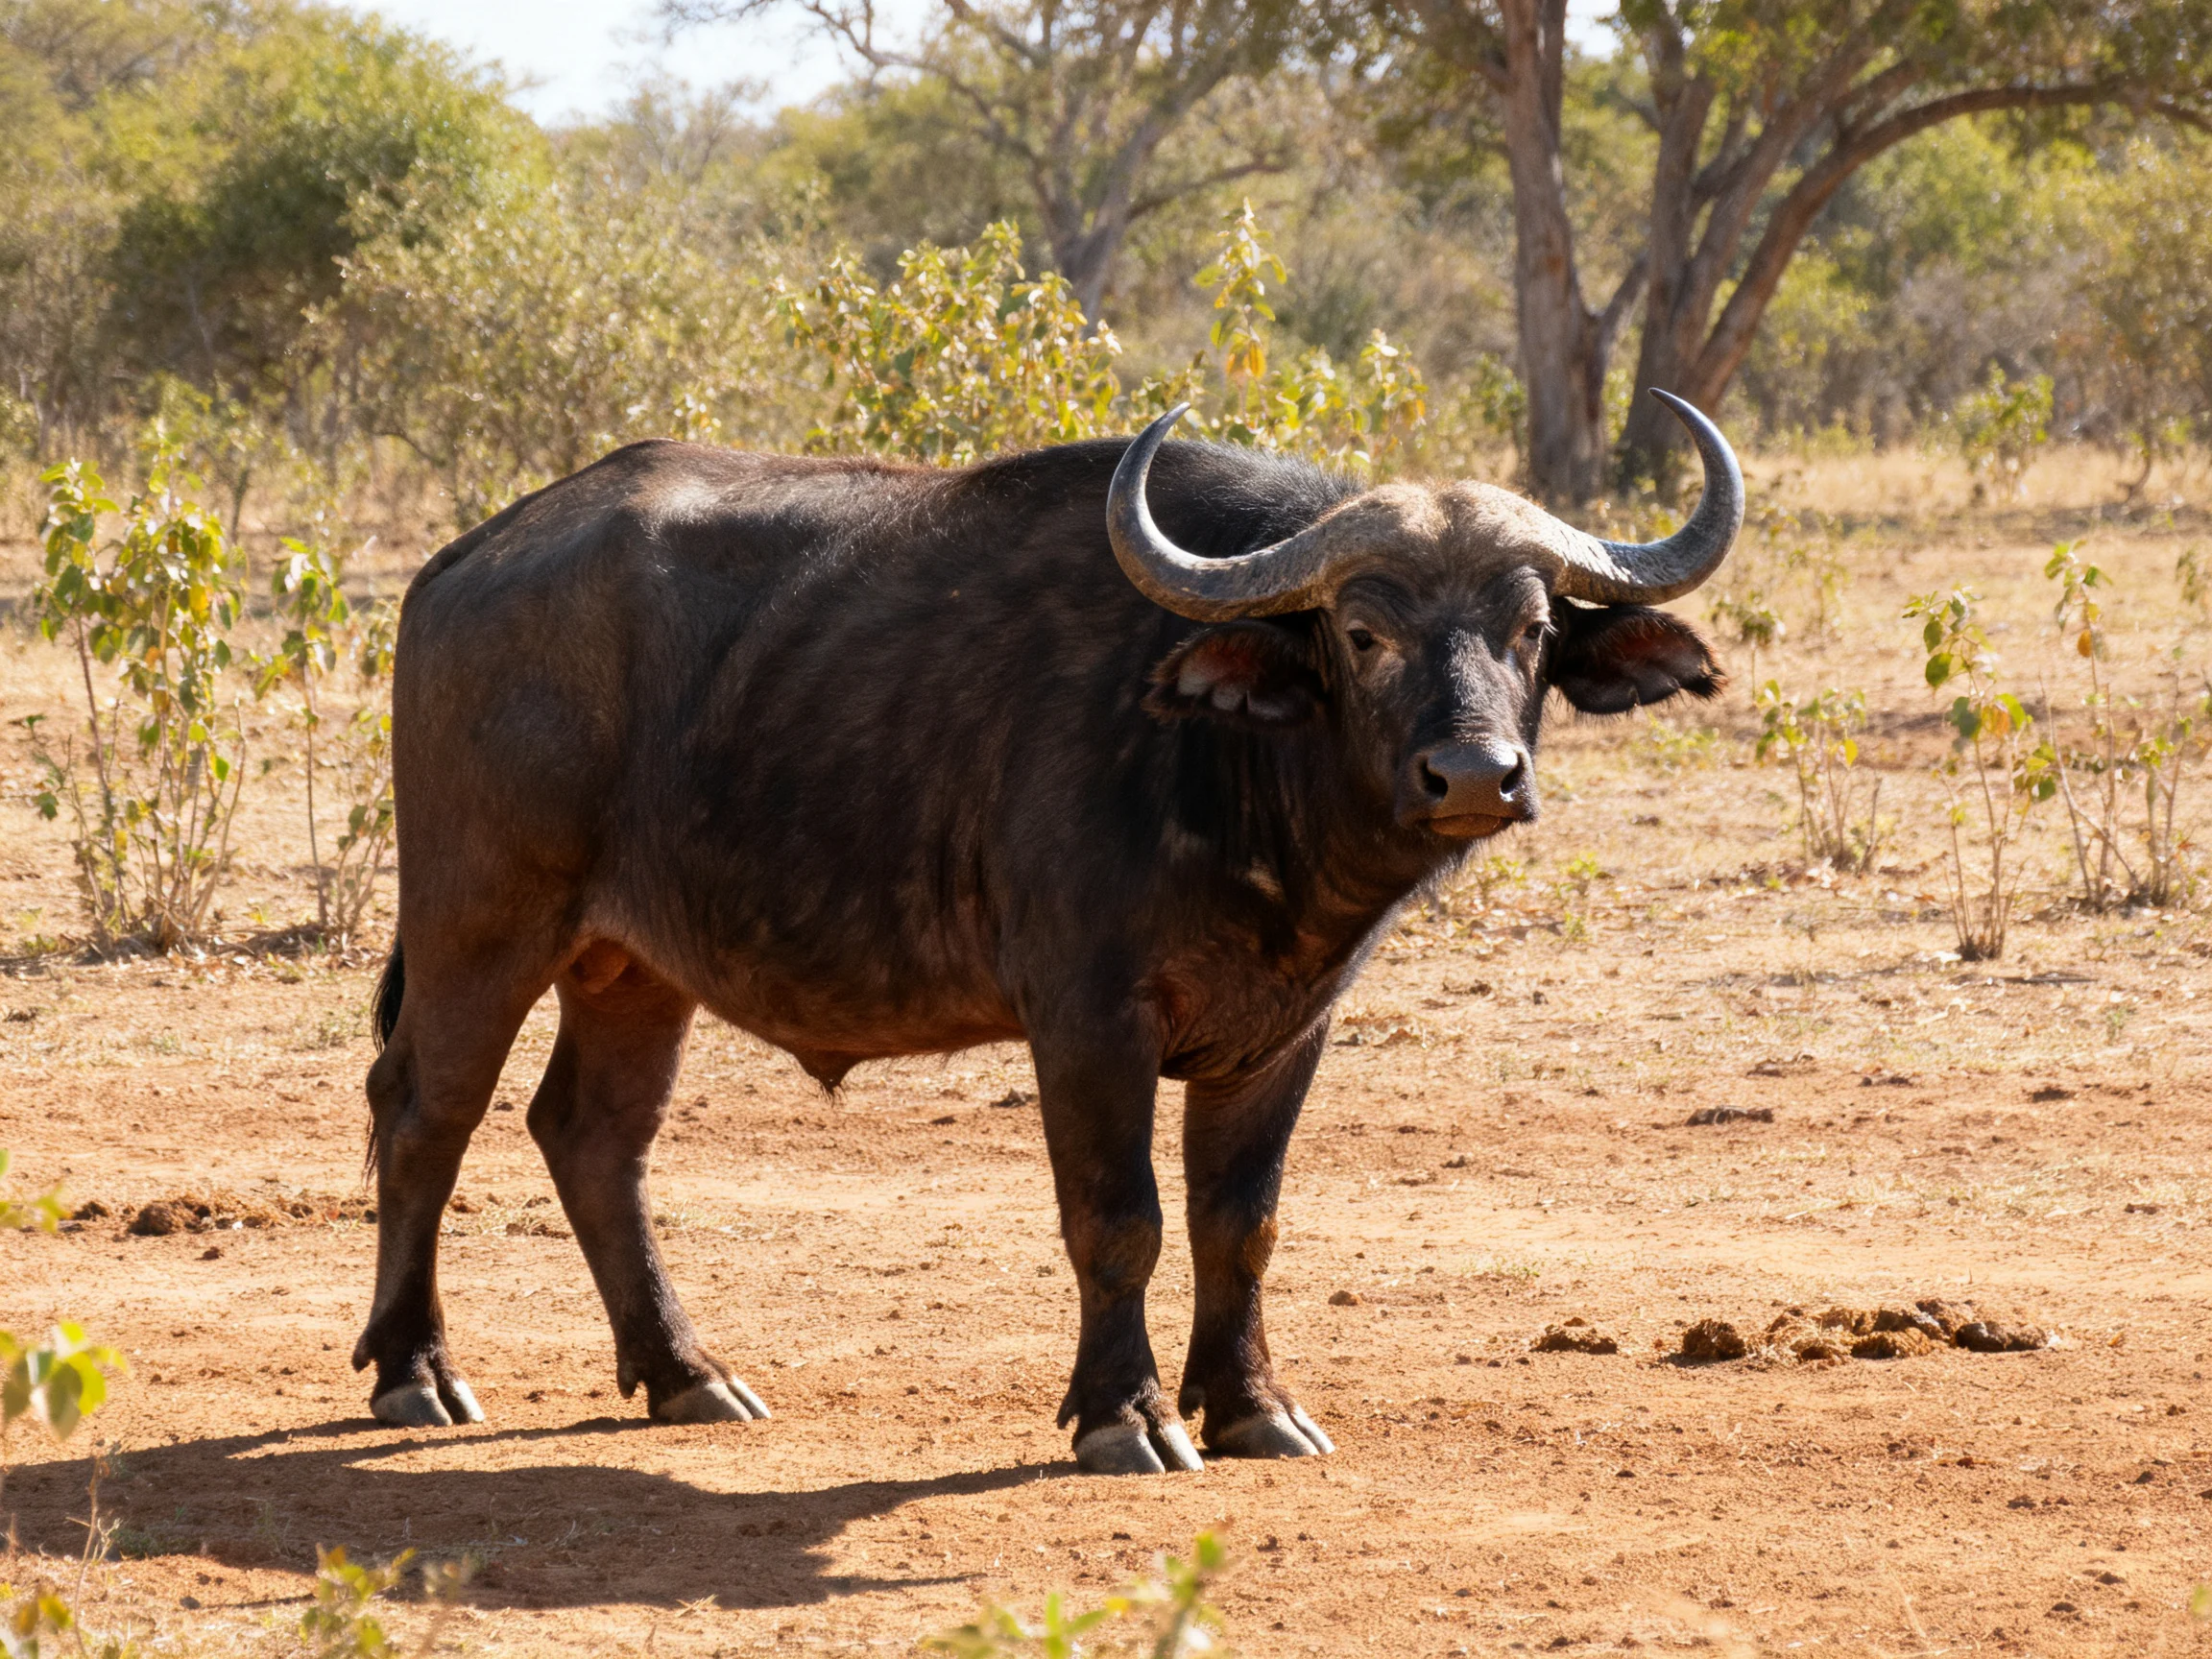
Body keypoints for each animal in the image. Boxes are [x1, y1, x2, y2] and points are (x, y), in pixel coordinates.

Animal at [357, 392, 1740, 1473]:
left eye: (1533, 631)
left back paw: (687, 1371)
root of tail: (463, 564)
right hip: (482, 922)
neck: (1232, 765)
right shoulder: (1087, 1021)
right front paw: (1125, 1415)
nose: (1474, 775)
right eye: (1363, 631)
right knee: (425, 1113)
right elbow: (1120, 1218)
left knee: (593, 1134)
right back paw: (413, 1372)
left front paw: (1253, 1406)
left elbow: (1243, 1222)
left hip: (634, 964)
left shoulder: (1285, 1033)